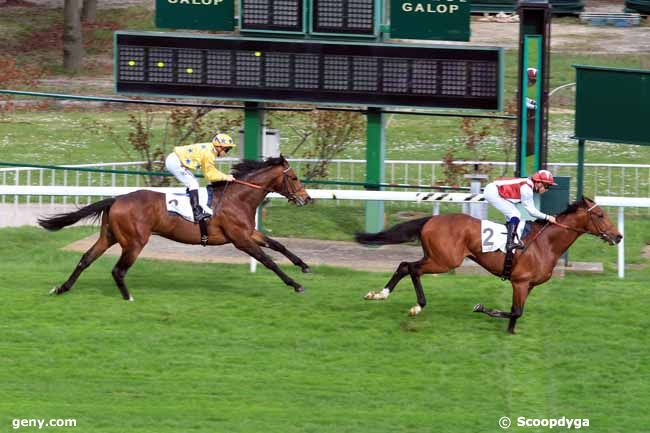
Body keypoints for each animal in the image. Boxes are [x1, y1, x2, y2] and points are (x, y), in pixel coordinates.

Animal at [38, 155, 312, 300]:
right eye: (294, 177)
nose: (306, 198)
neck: (237, 198)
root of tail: (117, 199)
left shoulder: (249, 233)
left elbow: (278, 245)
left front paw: (304, 266)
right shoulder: (240, 239)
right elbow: (268, 260)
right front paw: (296, 284)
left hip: (109, 236)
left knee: (85, 259)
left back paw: (62, 288)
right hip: (135, 241)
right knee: (118, 270)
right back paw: (128, 297)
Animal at [356, 197, 620, 334]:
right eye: (600, 215)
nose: (618, 236)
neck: (545, 243)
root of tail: (431, 219)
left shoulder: (527, 285)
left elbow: (516, 311)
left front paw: (511, 332)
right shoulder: (520, 282)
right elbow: (516, 311)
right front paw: (482, 308)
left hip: (435, 257)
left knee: (403, 265)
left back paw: (379, 294)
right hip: (444, 261)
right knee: (412, 268)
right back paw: (417, 306)